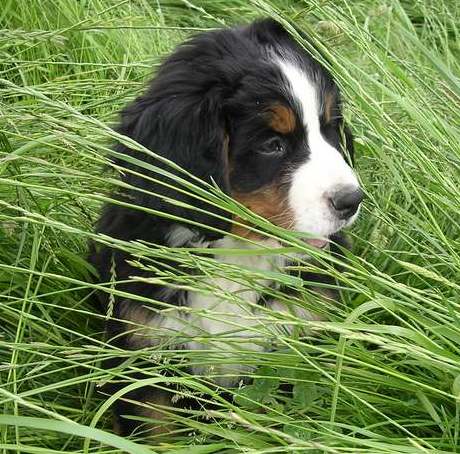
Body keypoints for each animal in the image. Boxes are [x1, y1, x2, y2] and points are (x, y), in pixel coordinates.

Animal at [89, 17, 362, 436]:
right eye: (271, 144)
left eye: (330, 129)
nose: (351, 200)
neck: (238, 251)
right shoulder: (147, 355)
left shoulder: (298, 343)